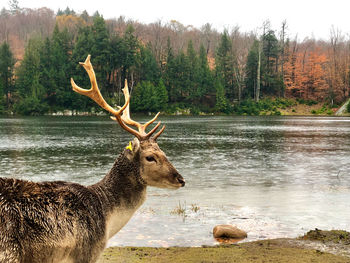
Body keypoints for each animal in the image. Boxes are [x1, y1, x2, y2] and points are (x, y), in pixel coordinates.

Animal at [0, 55, 186, 263]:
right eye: (150, 157)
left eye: (163, 151)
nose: (181, 179)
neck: (107, 216)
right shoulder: (86, 251)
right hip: (10, 251)